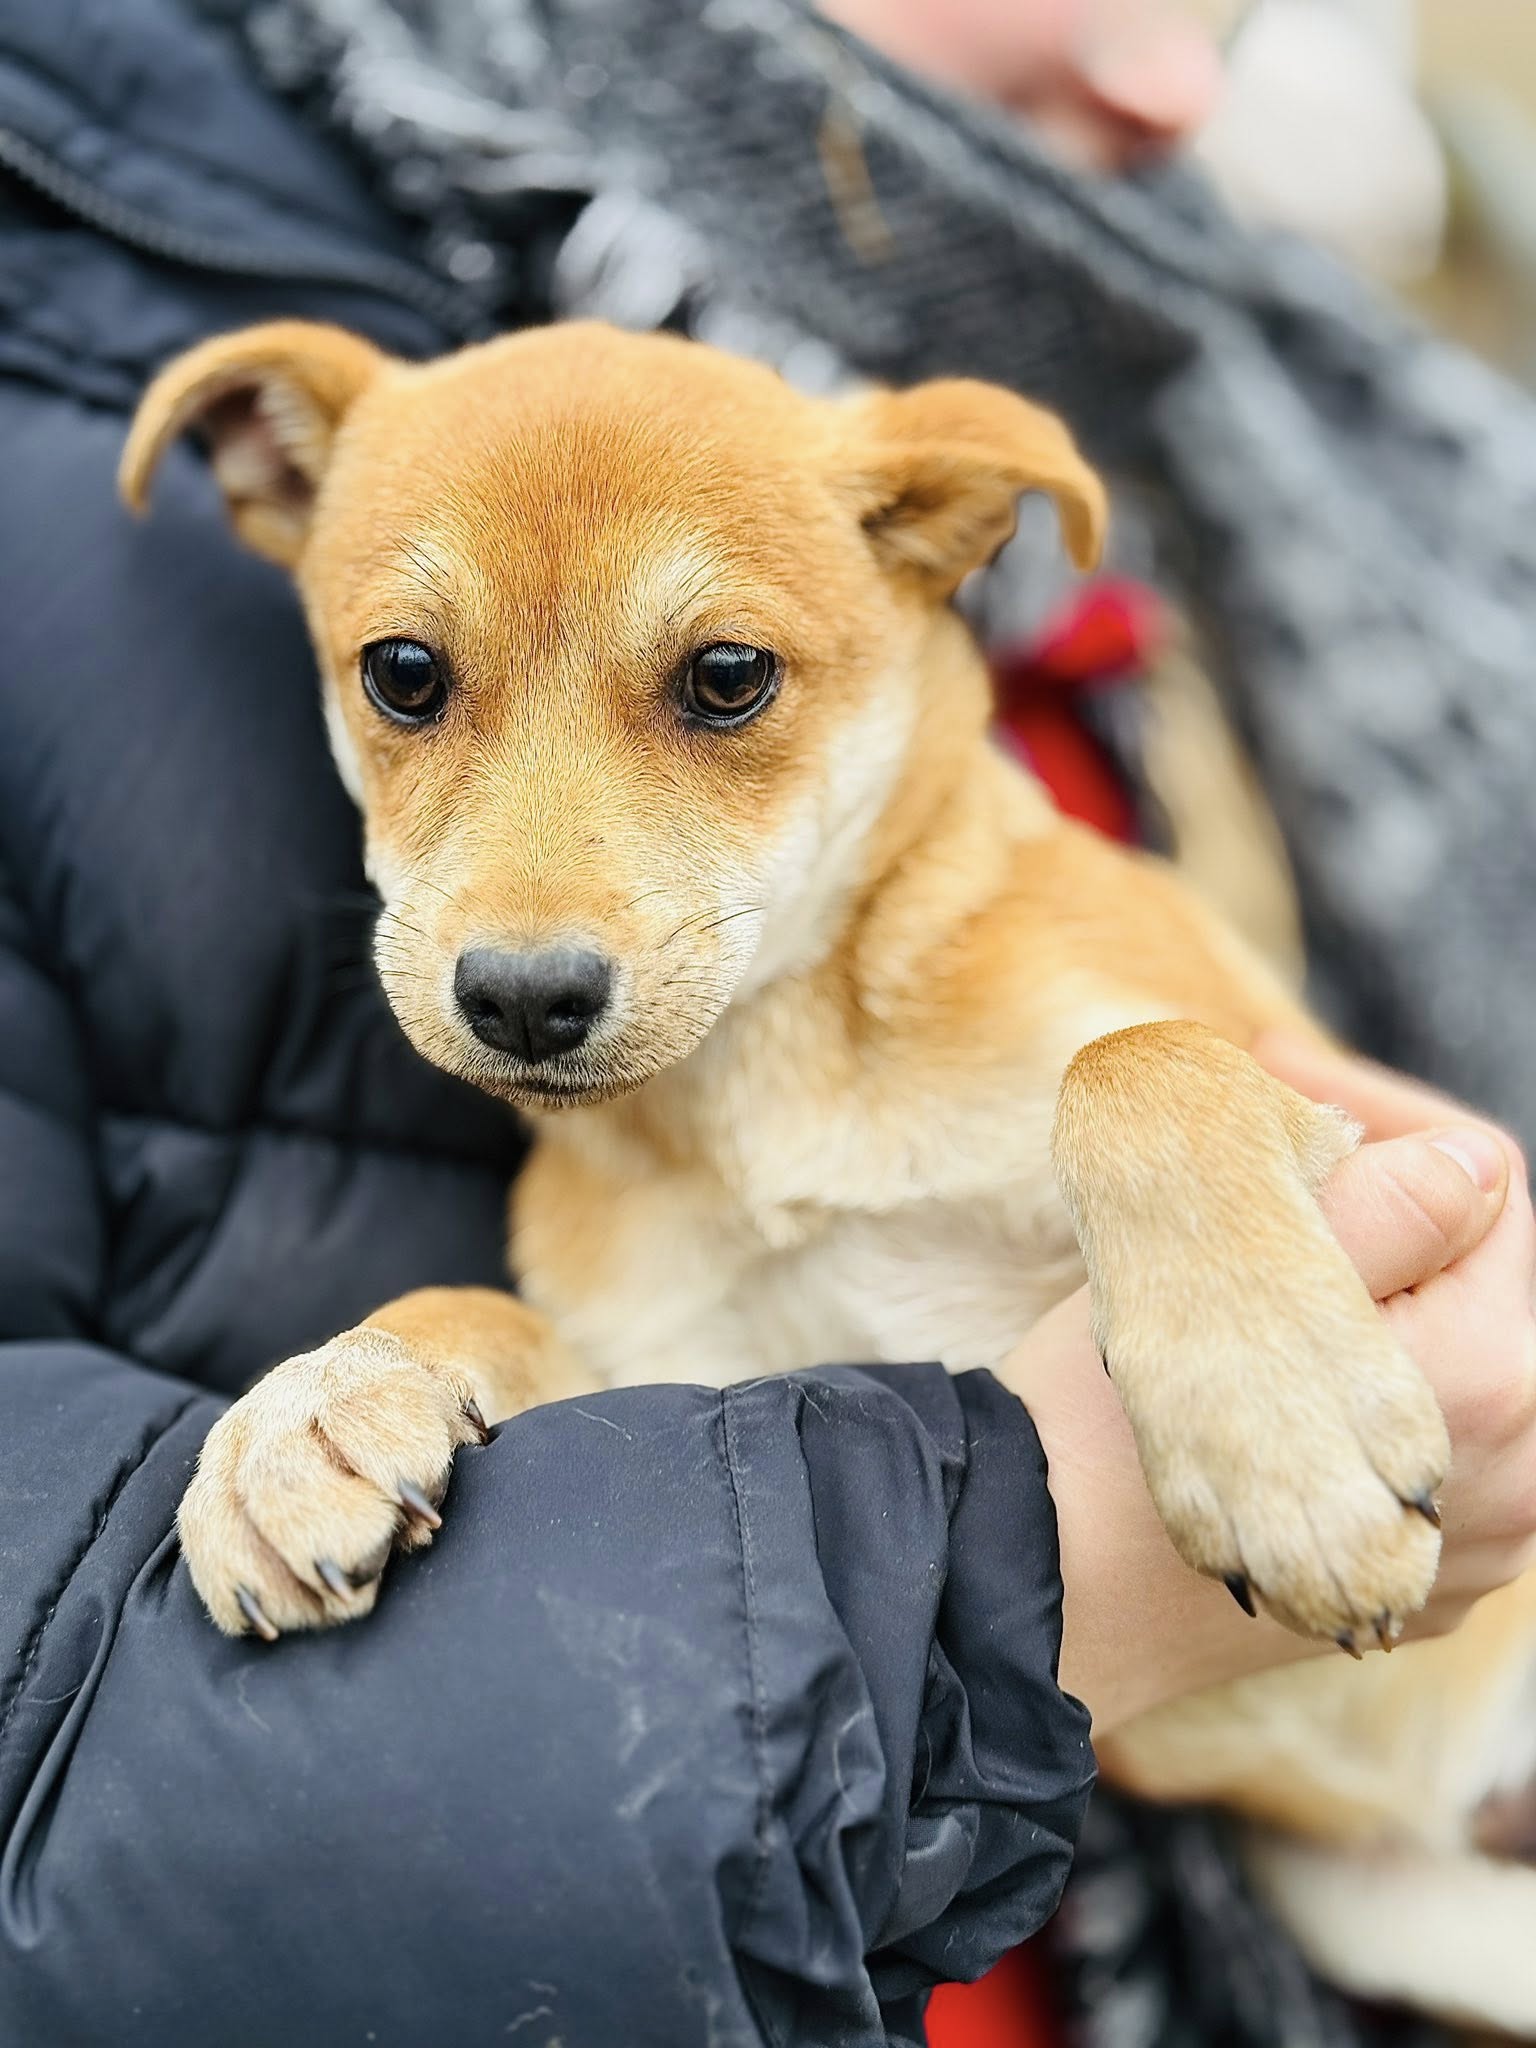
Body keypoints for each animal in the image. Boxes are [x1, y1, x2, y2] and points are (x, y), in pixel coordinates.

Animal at [122, 320, 1536, 2031]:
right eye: (405, 674)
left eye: (728, 679)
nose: (522, 999)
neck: (774, 1090)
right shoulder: (698, 1388)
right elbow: (475, 1306)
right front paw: (311, 1416)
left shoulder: (1358, 1110)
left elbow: (1134, 1064)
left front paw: (1285, 1440)